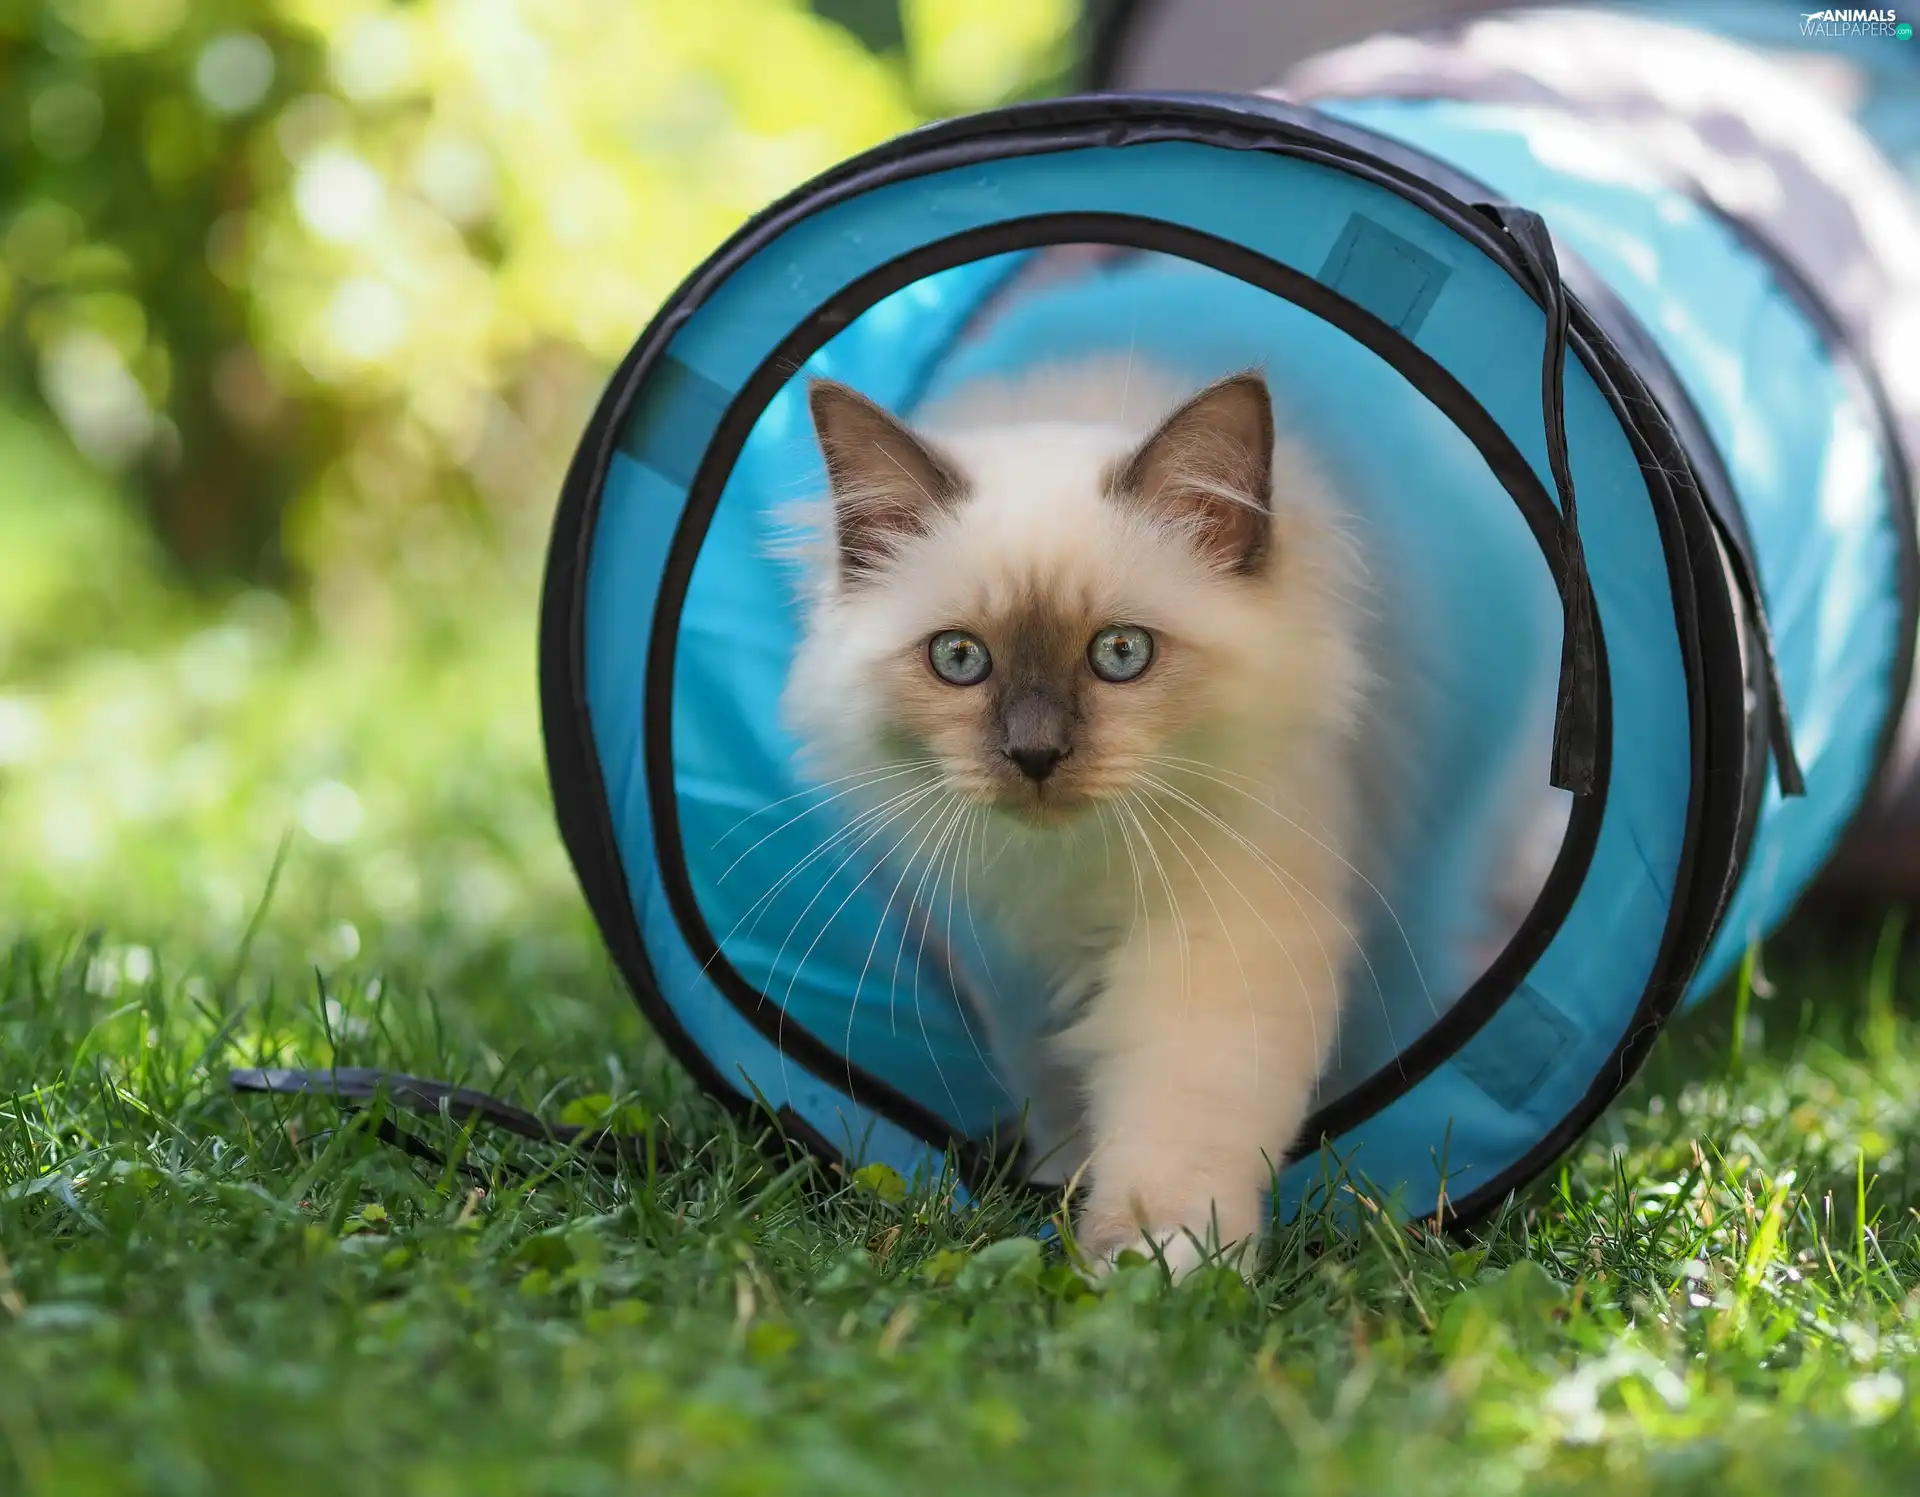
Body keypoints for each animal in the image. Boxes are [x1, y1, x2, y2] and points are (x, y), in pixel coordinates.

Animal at [779, 358, 1382, 1274]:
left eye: (1120, 653)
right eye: (959, 659)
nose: (1035, 754)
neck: (1075, 872)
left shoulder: (1223, 937)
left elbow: (1179, 1121)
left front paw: (1164, 1258)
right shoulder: (1009, 971)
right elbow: (1056, 1086)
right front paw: (1062, 1180)